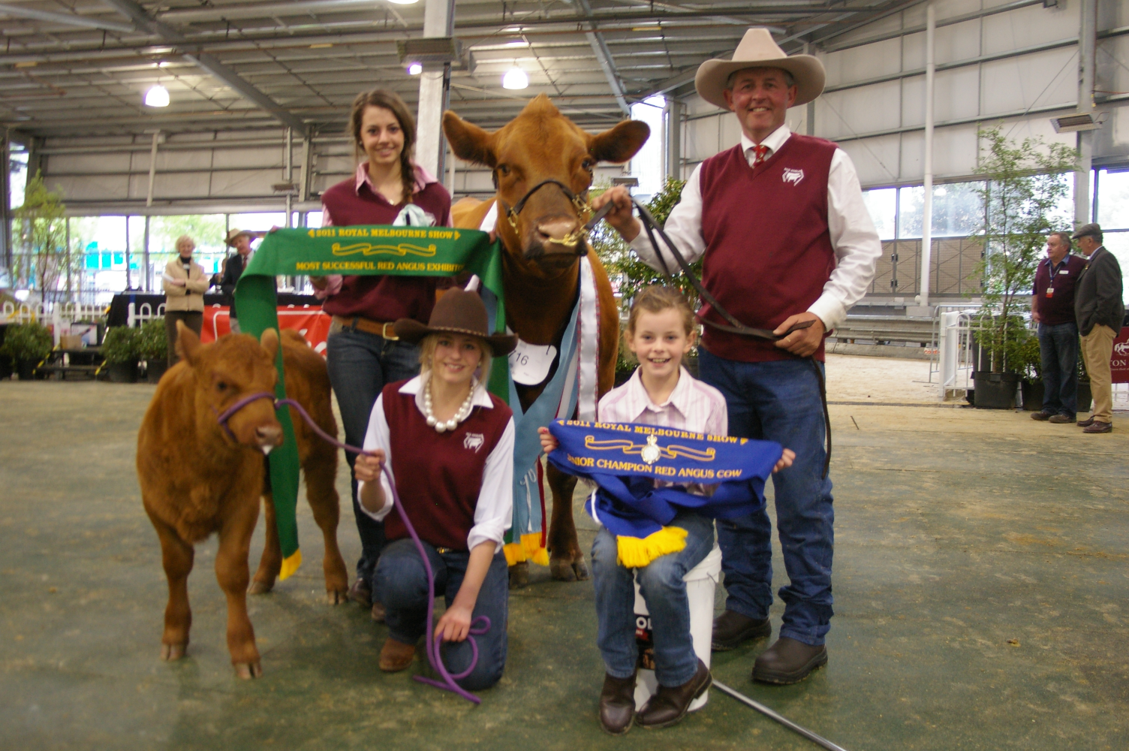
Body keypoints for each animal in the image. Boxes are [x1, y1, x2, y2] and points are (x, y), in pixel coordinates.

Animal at [137, 325, 347, 677]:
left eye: (272, 383)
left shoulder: (240, 508)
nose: (269, 433)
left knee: (326, 513)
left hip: (322, 452)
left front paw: (243, 650)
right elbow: (176, 567)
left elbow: (231, 572)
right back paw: (264, 575)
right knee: (276, 511)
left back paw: (336, 581)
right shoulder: (157, 508)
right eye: (221, 383)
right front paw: (175, 635)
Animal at [442, 93, 650, 582]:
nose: (557, 235)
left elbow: (563, 470)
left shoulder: (600, 374)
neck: (538, 310)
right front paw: (513, 559)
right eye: (503, 166)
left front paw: (565, 551)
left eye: (587, 162)